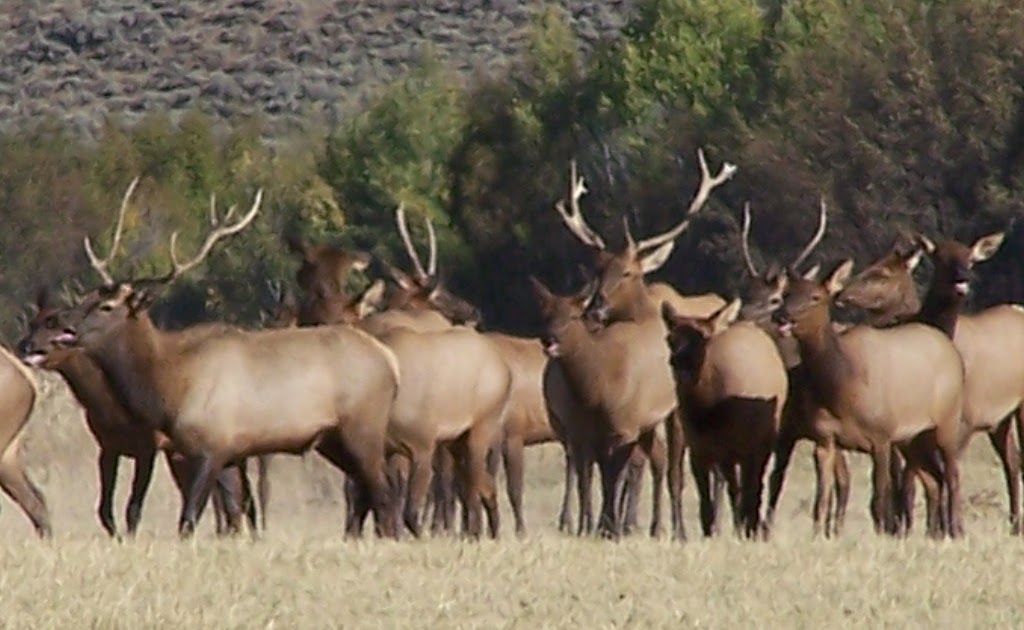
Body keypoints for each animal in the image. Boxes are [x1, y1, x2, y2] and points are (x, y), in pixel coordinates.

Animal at [52, 186, 400, 539]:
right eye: (87, 297)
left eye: (107, 306)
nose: (63, 326)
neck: (169, 385)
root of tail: (389, 361)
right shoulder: (226, 453)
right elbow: (235, 513)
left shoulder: (210, 445)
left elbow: (189, 519)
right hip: (332, 439)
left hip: (363, 427)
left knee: (383, 492)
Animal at [549, 148, 737, 539]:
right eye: (597, 270)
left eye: (628, 272)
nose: (594, 308)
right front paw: (618, 524)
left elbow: (658, 467)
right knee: (656, 461)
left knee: (678, 465)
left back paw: (690, 524)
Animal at [661, 297, 788, 538]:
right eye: (670, 338)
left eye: (704, 338)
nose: (679, 364)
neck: (706, 413)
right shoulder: (700, 451)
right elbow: (706, 503)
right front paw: (710, 532)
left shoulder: (742, 449)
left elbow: (744, 492)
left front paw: (743, 530)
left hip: (760, 446)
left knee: (753, 489)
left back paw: (750, 527)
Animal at [772, 260, 966, 537]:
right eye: (786, 294)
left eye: (816, 297)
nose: (781, 317)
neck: (842, 389)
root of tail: (951, 351)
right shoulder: (825, 439)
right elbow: (821, 500)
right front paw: (818, 535)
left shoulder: (882, 437)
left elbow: (879, 499)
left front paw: (883, 535)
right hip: (912, 438)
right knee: (934, 479)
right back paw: (934, 534)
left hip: (948, 421)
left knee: (952, 474)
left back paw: (956, 531)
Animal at [835, 230, 1024, 534]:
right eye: (940, 258)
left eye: (970, 259)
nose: (841, 294)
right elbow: (914, 478)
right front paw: (915, 527)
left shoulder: (961, 419)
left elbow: (935, 475)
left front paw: (944, 528)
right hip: (999, 420)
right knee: (1012, 460)